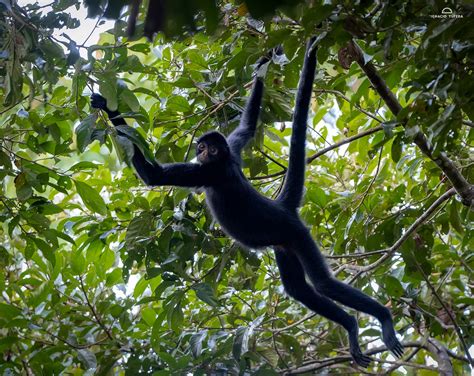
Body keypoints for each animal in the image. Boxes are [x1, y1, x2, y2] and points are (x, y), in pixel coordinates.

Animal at [92, 37, 404, 364]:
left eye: (210, 149)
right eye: (201, 147)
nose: (202, 152)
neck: (224, 160)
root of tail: (281, 206)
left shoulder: (211, 172)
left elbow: (154, 176)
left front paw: (106, 106)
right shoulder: (233, 147)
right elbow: (248, 125)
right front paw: (266, 59)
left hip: (297, 233)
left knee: (323, 284)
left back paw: (377, 319)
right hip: (284, 244)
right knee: (299, 290)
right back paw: (349, 322)